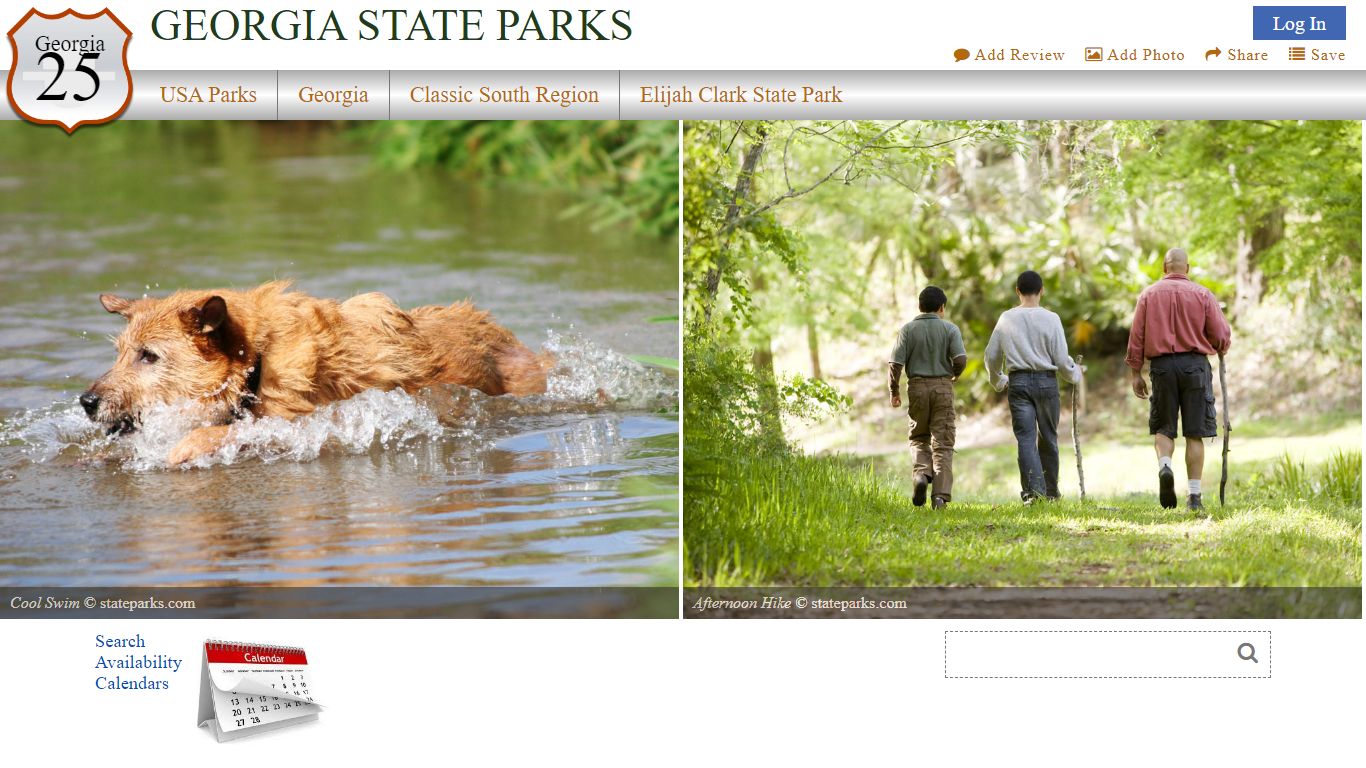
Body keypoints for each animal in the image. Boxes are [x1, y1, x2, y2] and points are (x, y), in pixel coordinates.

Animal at [79, 280, 546, 464]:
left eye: (149, 356)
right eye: (120, 353)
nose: (87, 401)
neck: (257, 360)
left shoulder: (306, 423)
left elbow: (226, 432)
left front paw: (182, 449)